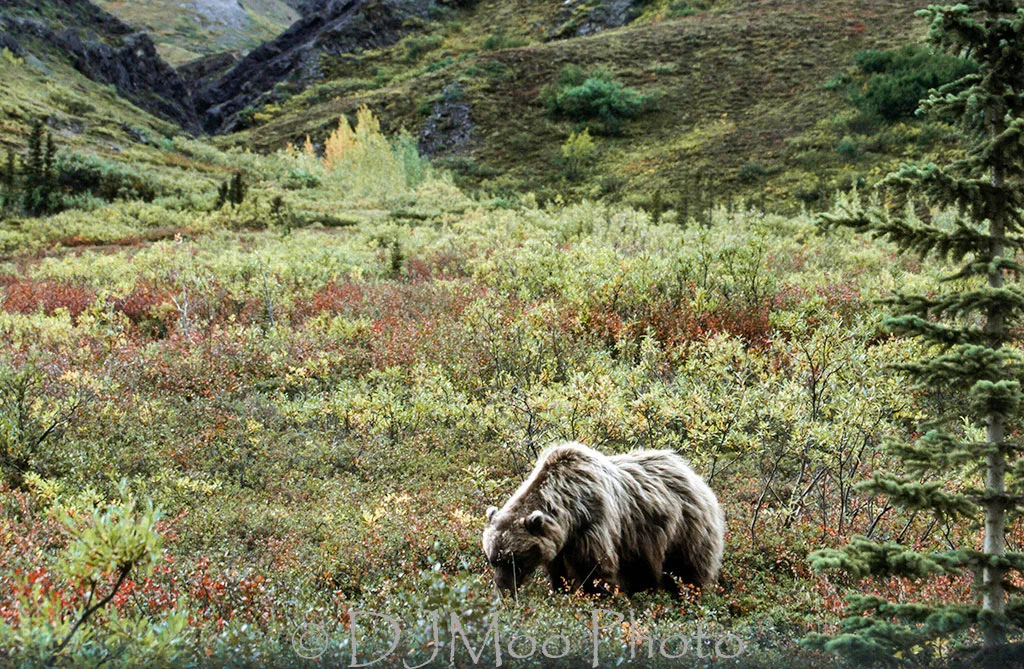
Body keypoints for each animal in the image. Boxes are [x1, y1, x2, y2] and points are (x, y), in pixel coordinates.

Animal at [482, 442, 725, 596]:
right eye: (493, 559)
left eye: (515, 559)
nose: (504, 591)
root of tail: (695, 476)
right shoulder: (558, 544)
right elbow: (559, 574)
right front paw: (561, 591)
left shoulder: (592, 524)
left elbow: (594, 570)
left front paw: (594, 596)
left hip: (685, 529)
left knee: (687, 570)